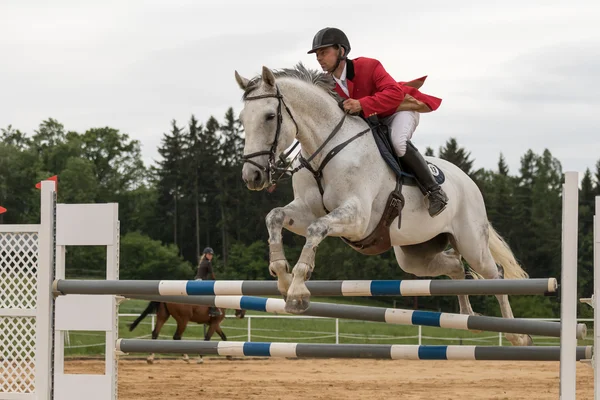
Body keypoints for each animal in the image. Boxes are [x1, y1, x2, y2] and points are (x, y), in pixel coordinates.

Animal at [232, 63, 532, 346]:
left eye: (270, 117)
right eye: (242, 120)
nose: (252, 177)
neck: (325, 149)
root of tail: (469, 181)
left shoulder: (358, 219)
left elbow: (316, 229)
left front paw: (297, 292)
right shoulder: (305, 210)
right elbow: (275, 216)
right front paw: (282, 278)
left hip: (472, 243)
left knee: (495, 275)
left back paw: (517, 336)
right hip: (415, 255)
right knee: (455, 266)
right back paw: (468, 317)